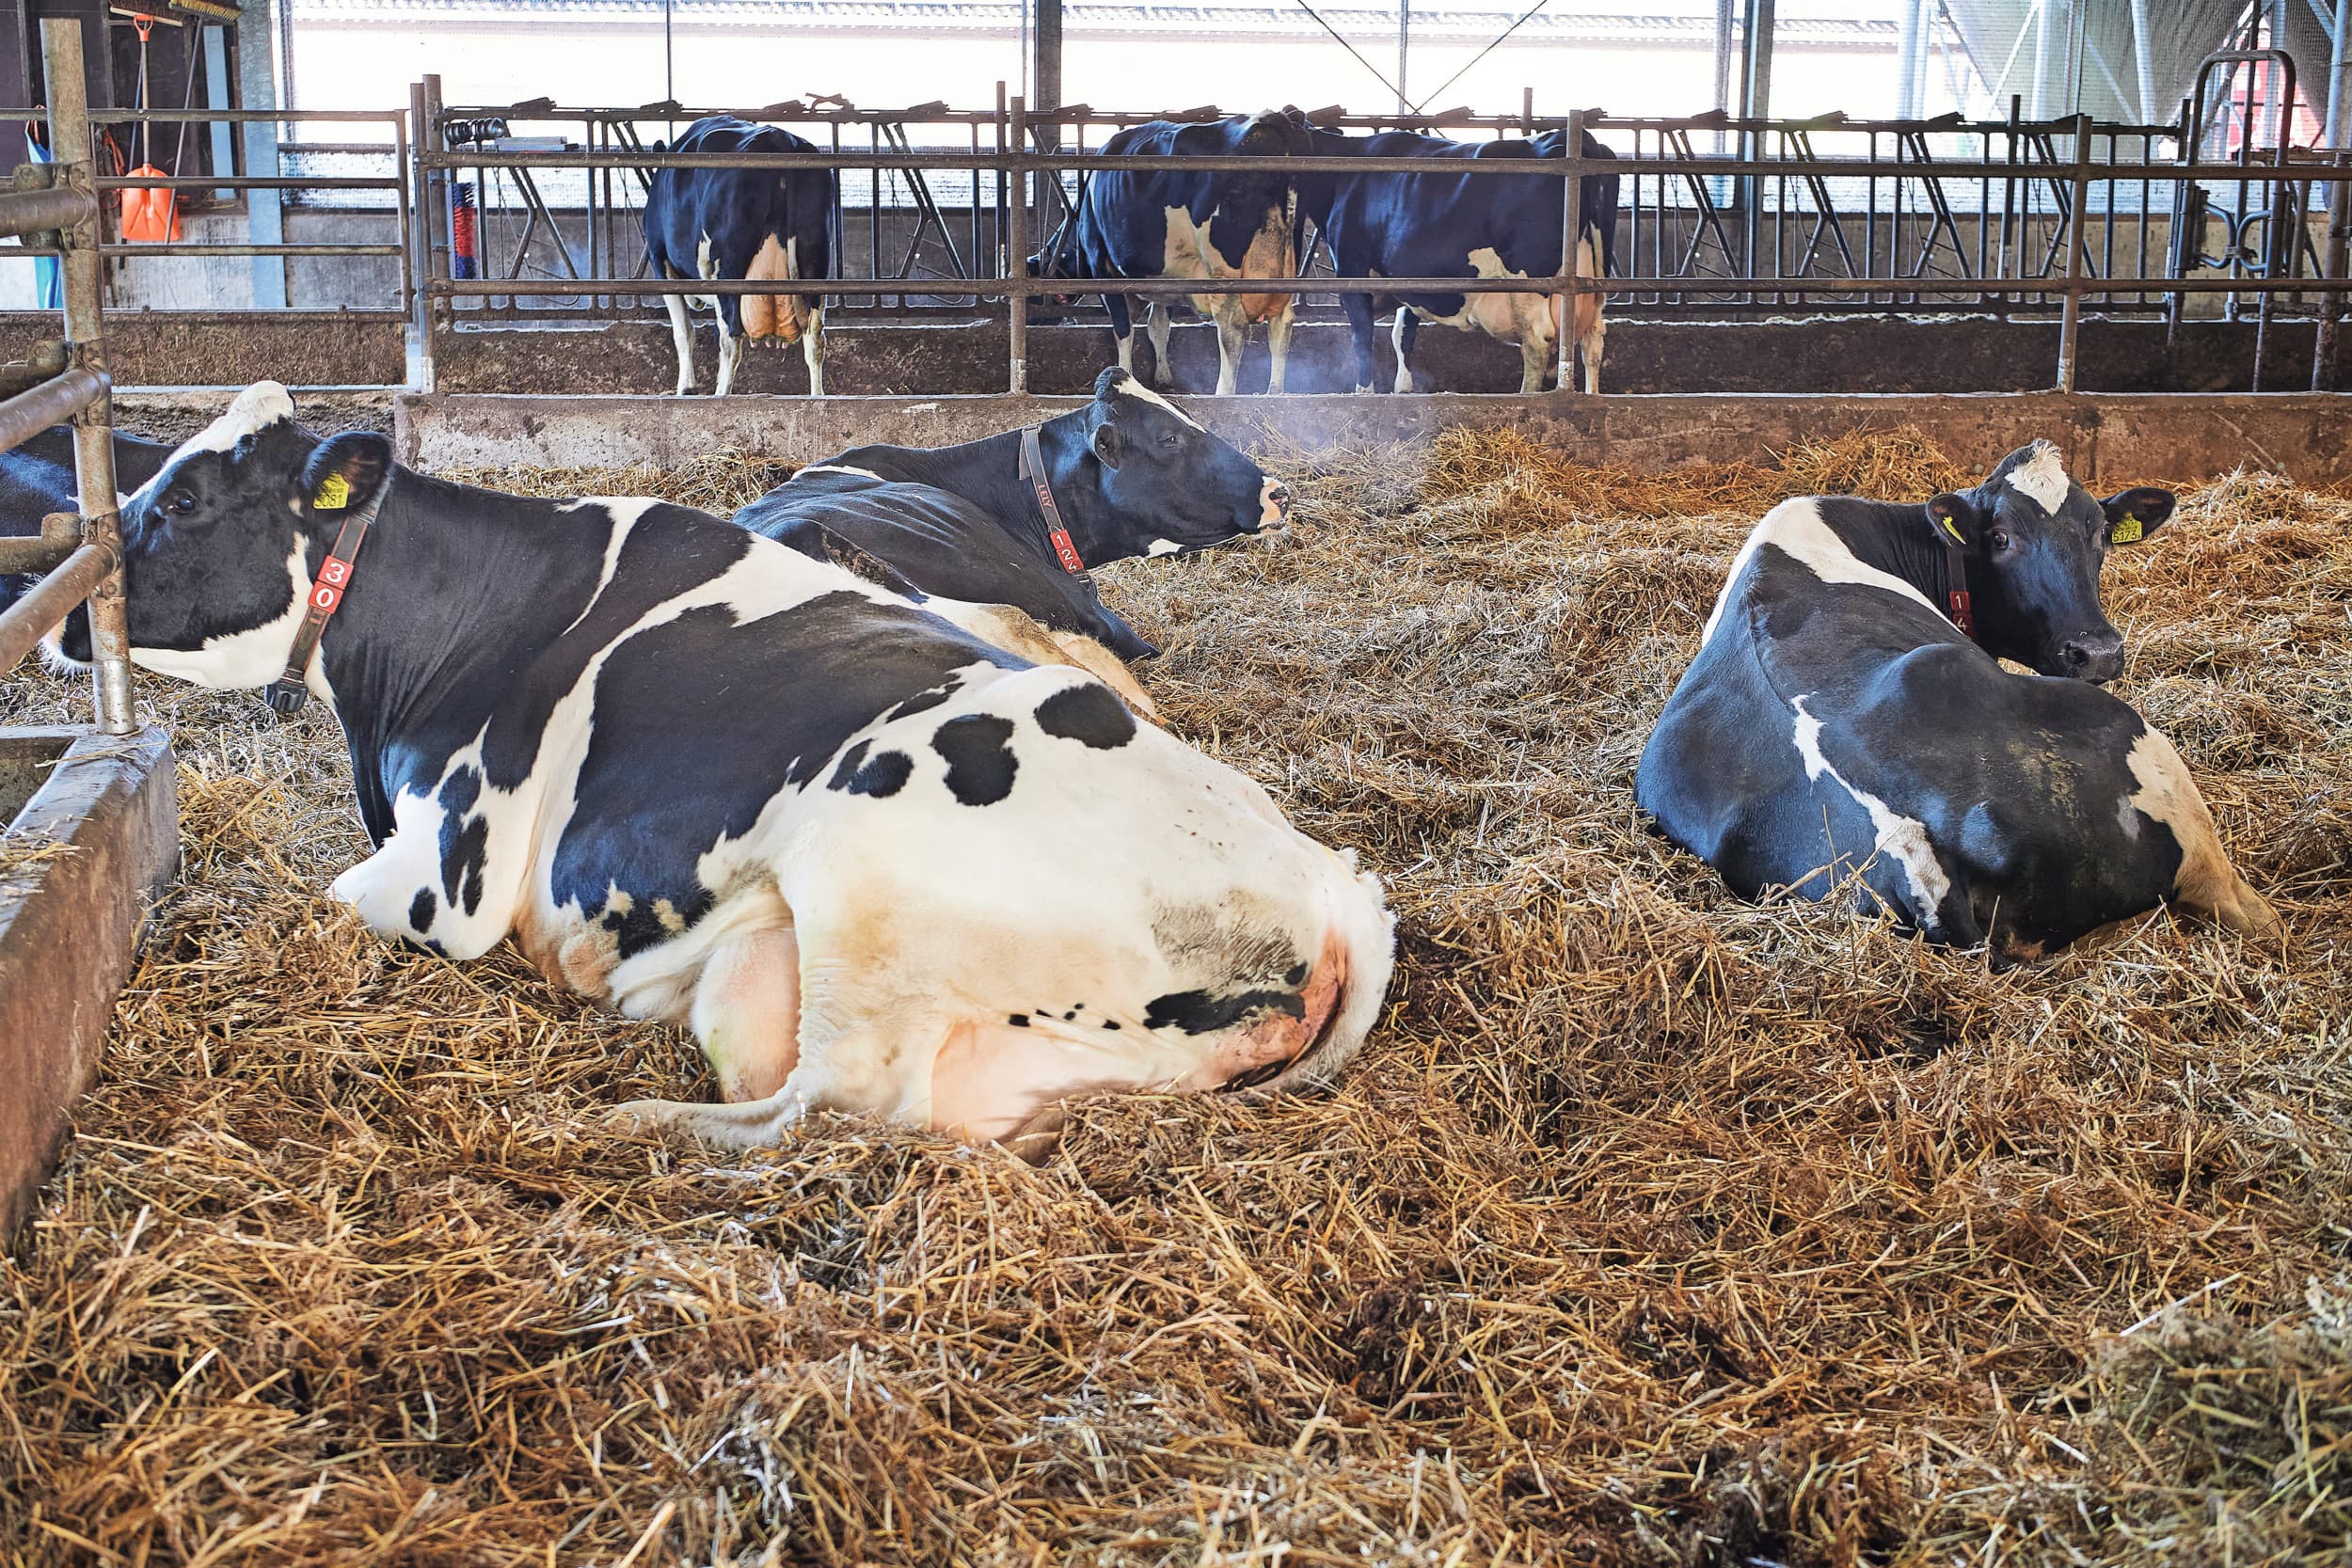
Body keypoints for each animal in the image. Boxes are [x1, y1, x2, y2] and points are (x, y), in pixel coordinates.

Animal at [643, 115, 834, 398]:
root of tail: (779, 138)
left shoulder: (659, 259)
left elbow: (683, 331)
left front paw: (686, 387)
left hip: (728, 268)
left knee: (730, 339)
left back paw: (720, 395)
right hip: (815, 260)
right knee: (816, 339)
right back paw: (817, 396)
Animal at [1030, 110, 1314, 395]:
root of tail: (1270, 119)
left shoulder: (1103, 269)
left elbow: (1123, 329)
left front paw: (1123, 373)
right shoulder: (1165, 280)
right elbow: (1158, 327)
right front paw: (1163, 377)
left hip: (1223, 272)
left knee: (1232, 328)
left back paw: (1224, 393)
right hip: (1286, 264)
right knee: (1282, 325)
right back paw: (1274, 391)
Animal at [1294, 125, 1620, 394]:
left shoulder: (1352, 270)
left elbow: (1363, 338)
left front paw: (1365, 393)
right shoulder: (1411, 281)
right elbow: (1403, 335)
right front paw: (1404, 390)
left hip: (1529, 284)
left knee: (1537, 343)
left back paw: (1527, 395)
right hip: (1594, 282)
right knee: (1593, 341)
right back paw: (1592, 395)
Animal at [1635, 440, 2278, 963]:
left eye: (2099, 533)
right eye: (2000, 537)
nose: (2096, 652)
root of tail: (1910, 837)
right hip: (2148, 754)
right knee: (2240, 906)